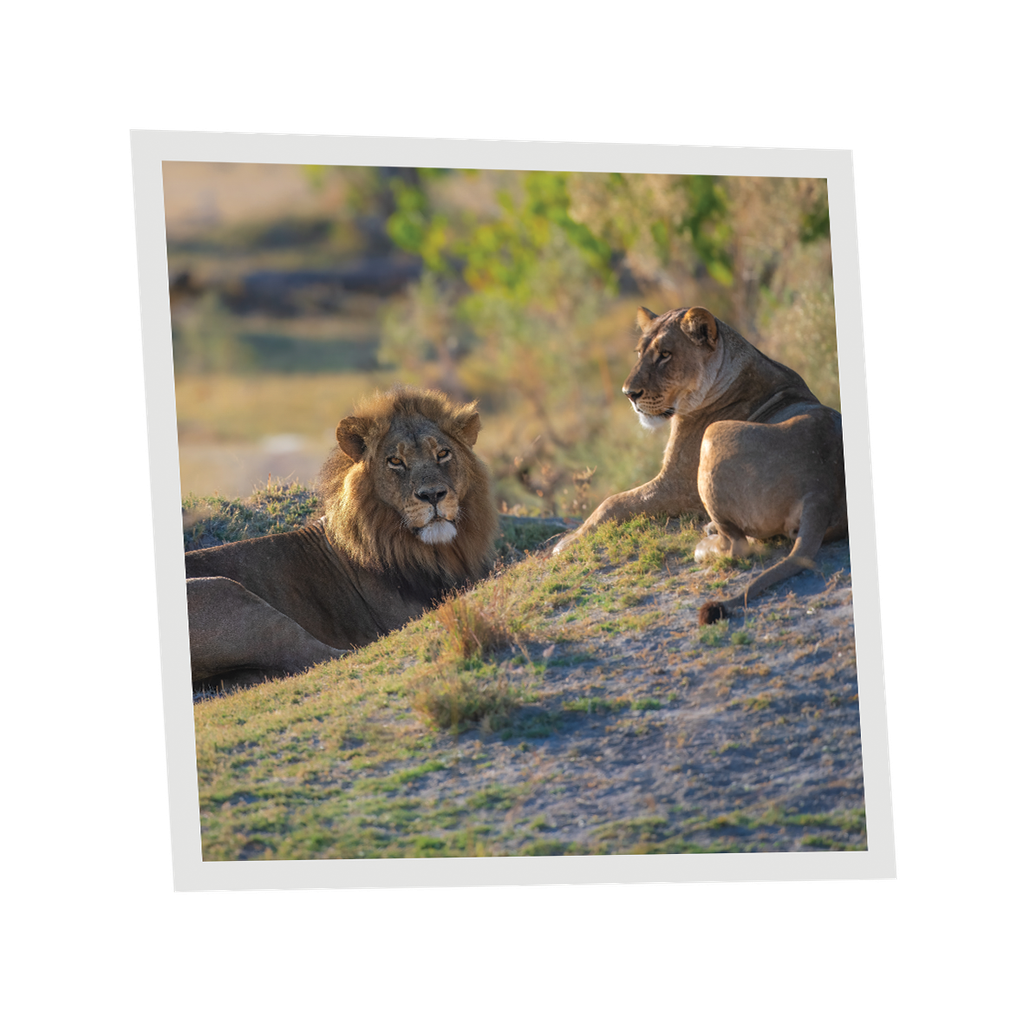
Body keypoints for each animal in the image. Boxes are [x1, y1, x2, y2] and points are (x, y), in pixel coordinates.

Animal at [552, 305, 847, 621]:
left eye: (665, 354)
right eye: (639, 353)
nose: (628, 394)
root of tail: (820, 490)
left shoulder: (677, 485)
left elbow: (611, 503)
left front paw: (566, 542)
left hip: (714, 434)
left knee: (738, 547)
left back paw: (705, 544)